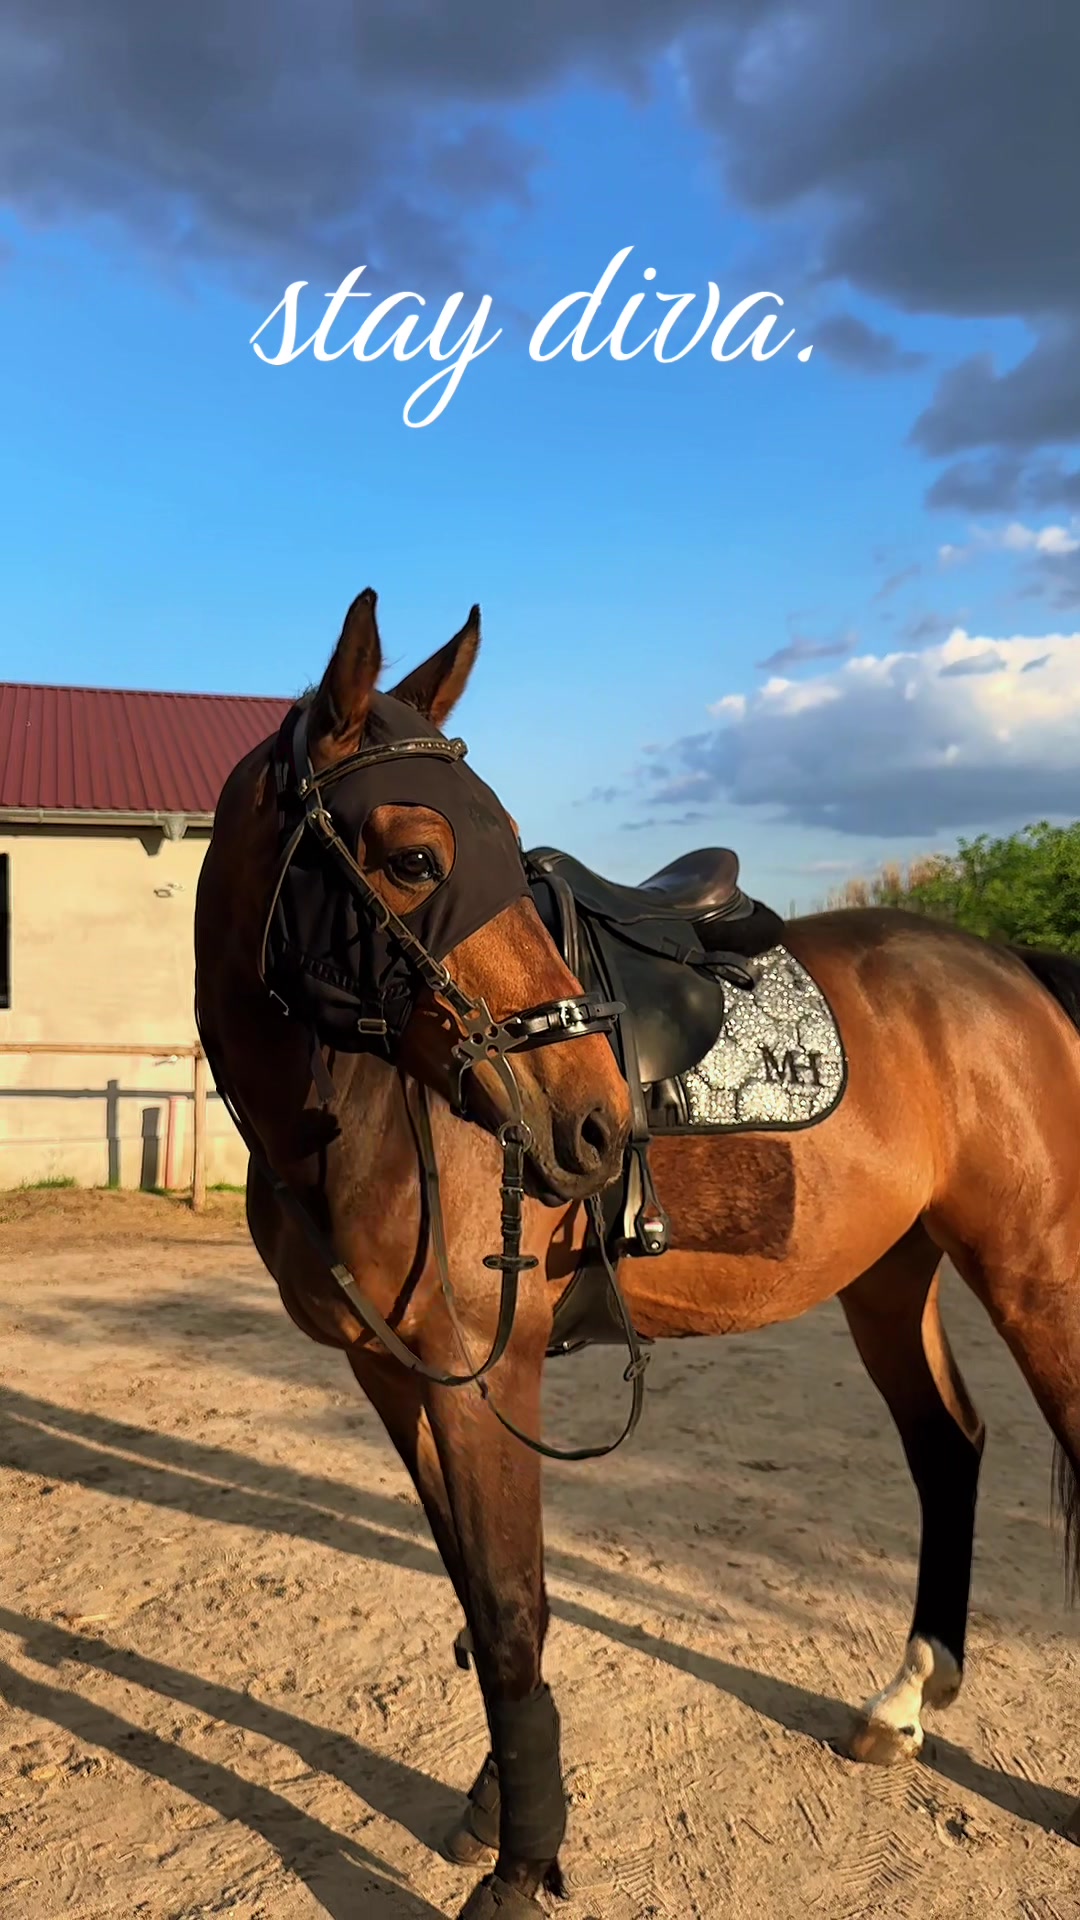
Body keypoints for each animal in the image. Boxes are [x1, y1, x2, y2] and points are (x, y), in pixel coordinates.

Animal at [194, 587, 1080, 1919]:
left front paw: (521, 1865)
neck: (354, 1114)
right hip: (890, 1275)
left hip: (1033, 1264)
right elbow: (476, 1598)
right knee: (948, 1444)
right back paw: (905, 1702)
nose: (595, 1126)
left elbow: (512, 1607)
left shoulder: (485, 1377)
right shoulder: (395, 1375)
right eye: (416, 859)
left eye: (507, 852)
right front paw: (498, 1809)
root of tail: (1007, 967)